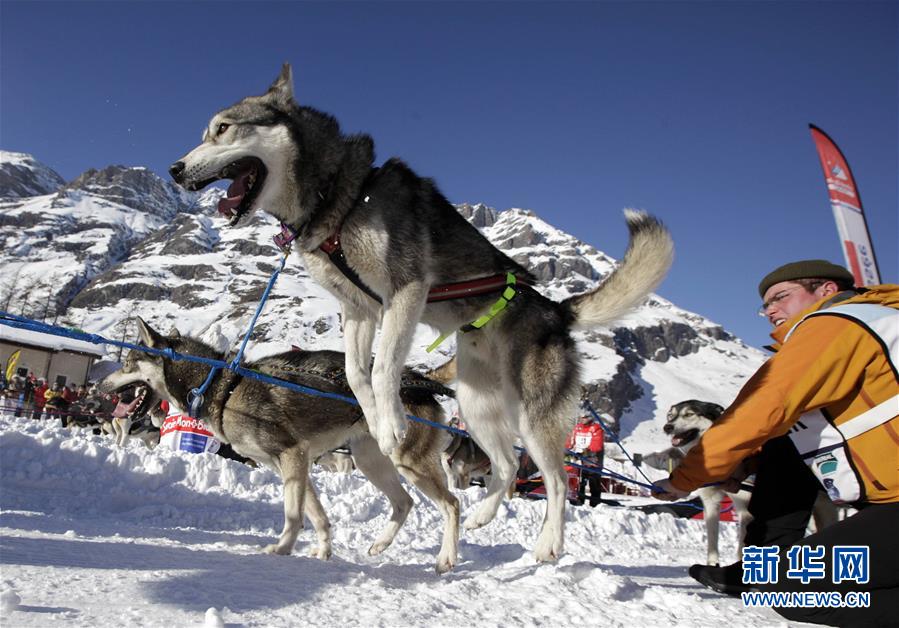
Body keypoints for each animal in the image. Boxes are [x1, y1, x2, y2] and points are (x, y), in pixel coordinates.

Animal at [102, 322, 460, 572]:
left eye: (129, 362)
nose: (101, 385)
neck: (221, 386)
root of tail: (420, 378)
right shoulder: (291, 465)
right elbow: (316, 515)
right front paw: (323, 552)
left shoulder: (292, 455)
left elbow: (293, 514)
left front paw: (282, 549)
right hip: (371, 461)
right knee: (404, 502)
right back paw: (381, 545)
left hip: (407, 461)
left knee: (452, 504)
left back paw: (446, 559)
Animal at [171, 66, 676, 560]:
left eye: (223, 129)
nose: (175, 169)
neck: (337, 197)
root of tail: (555, 311)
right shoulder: (358, 309)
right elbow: (356, 374)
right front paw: (377, 422)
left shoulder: (406, 292)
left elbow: (383, 369)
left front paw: (393, 423)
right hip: (476, 405)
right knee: (505, 464)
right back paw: (482, 514)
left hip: (534, 414)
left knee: (553, 479)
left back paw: (549, 542)